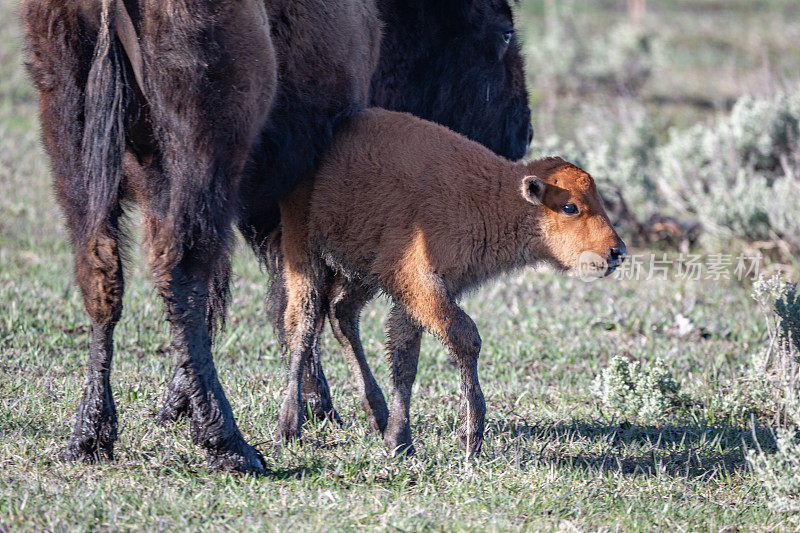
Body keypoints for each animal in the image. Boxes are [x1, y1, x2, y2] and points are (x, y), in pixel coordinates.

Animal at [21, 0, 528, 474]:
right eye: (503, 33)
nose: (522, 132)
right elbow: (302, 303)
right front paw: (316, 408)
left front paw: (176, 404)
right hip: (205, 144)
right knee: (182, 273)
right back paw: (230, 446)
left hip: (73, 138)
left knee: (103, 275)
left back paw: (90, 437)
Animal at [280, 107, 624, 454]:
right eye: (570, 207)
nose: (617, 251)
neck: (492, 197)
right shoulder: (420, 282)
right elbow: (466, 338)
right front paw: (470, 434)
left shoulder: (421, 291)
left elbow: (405, 358)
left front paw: (398, 440)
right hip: (304, 252)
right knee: (302, 323)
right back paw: (290, 425)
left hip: (360, 272)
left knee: (339, 313)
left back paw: (376, 414)